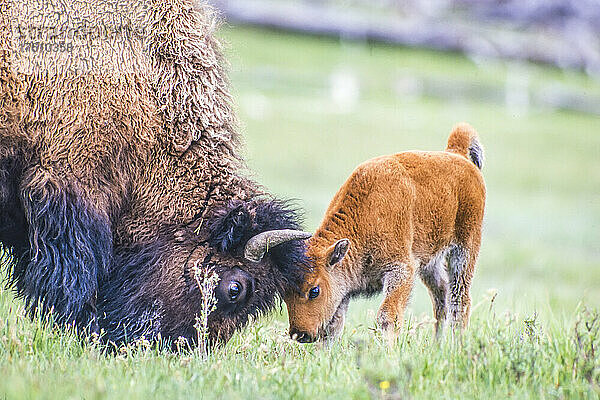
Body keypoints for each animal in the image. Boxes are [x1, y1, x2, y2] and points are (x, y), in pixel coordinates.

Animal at [284, 123, 486, 342]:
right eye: (284, 293)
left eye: (314, 291)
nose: (300, 334)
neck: (364, 215)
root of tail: (458, 155)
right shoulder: (345, 289)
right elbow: (334, 325)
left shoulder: (401, 270)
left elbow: (387, 315)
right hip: (430, 261)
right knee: (441, 294)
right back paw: (437, 344)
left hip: (464, 249)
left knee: (460, 300)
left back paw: (457, 344)